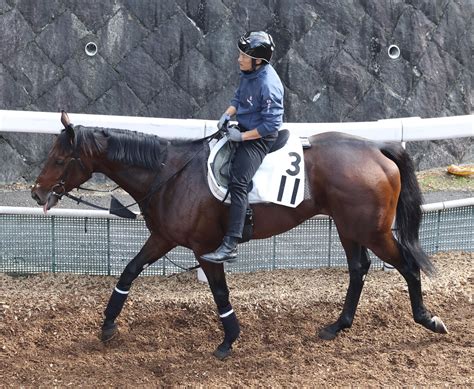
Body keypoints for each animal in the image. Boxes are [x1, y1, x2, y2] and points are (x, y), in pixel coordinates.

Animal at [31, 110, 446, 360]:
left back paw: (428, 319)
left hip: (372, 230)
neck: (169, 173)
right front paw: (108, 325)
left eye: (59, 158)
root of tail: (376, 149)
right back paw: (337, 325)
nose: (37, 193)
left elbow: (219, 292)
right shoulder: (164, 238)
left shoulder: (204, 248)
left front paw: (229, 338)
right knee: (359, 269)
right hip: (349, 228)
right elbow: (129, 272)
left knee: (407, 266)